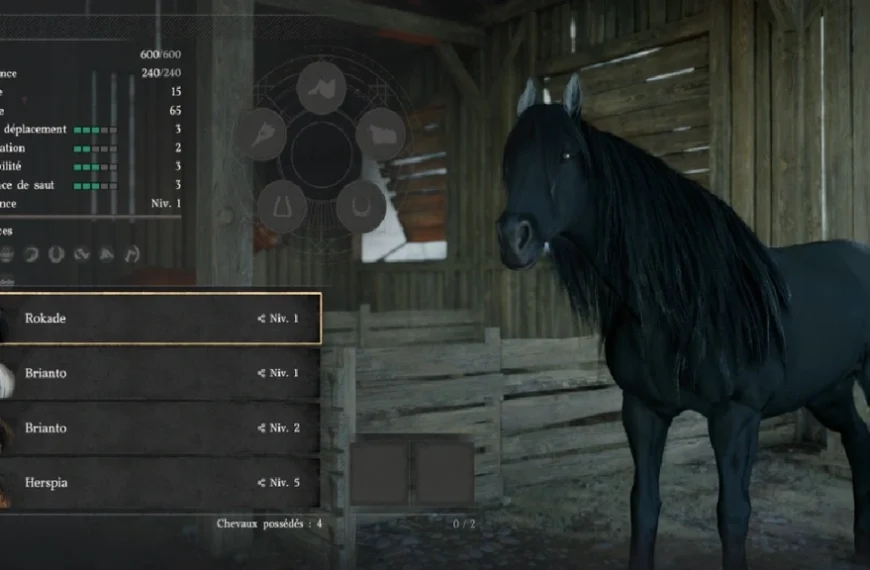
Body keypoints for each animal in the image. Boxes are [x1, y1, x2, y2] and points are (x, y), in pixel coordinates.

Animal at [496, 73, 870, 570]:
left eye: (568, 155)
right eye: (509, 157)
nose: (513, 238)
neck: (682, 303)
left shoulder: (736, 415)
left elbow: (732, 515)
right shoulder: (643, 410)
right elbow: (643, 506)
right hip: (830, 391)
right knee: (859, 441)